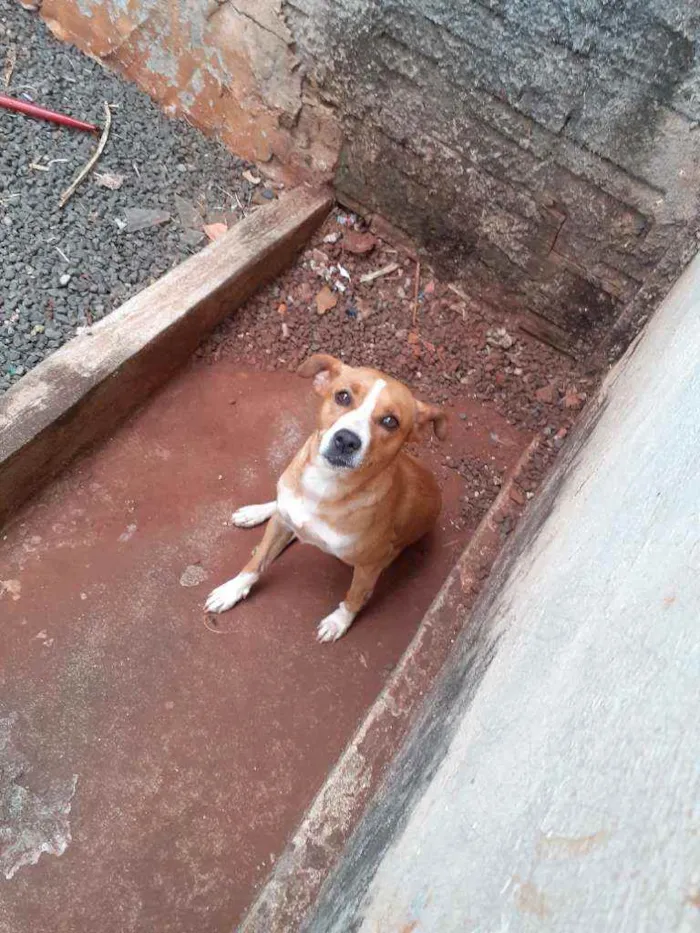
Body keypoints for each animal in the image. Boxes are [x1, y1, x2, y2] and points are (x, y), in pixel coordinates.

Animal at [205, 354, 448, 640]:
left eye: (391, 421)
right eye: (342, 396)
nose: (346, 440)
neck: (323, 486)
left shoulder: (369, 565)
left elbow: (355, 596)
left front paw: (338, 622)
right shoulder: (282, 522)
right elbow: (257, 562)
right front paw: (232, 589)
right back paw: (255, 513)